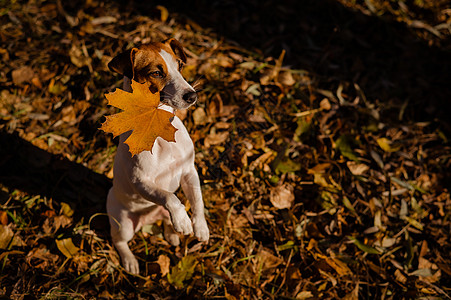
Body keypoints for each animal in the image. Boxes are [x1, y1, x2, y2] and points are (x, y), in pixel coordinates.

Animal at [107, 38, 210, 274]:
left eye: (180, 65)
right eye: (156, 73)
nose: (192, 95)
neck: (158, 127)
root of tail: (148, 221)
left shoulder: (189, 170)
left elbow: (197, 200)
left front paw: (200, 226)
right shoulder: (141, 182)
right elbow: (169, 197)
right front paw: (183, 220)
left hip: (159, 214)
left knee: (166, 220)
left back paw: (172, 233)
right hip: (123, 224)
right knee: (119, 240)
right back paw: (129, 260)